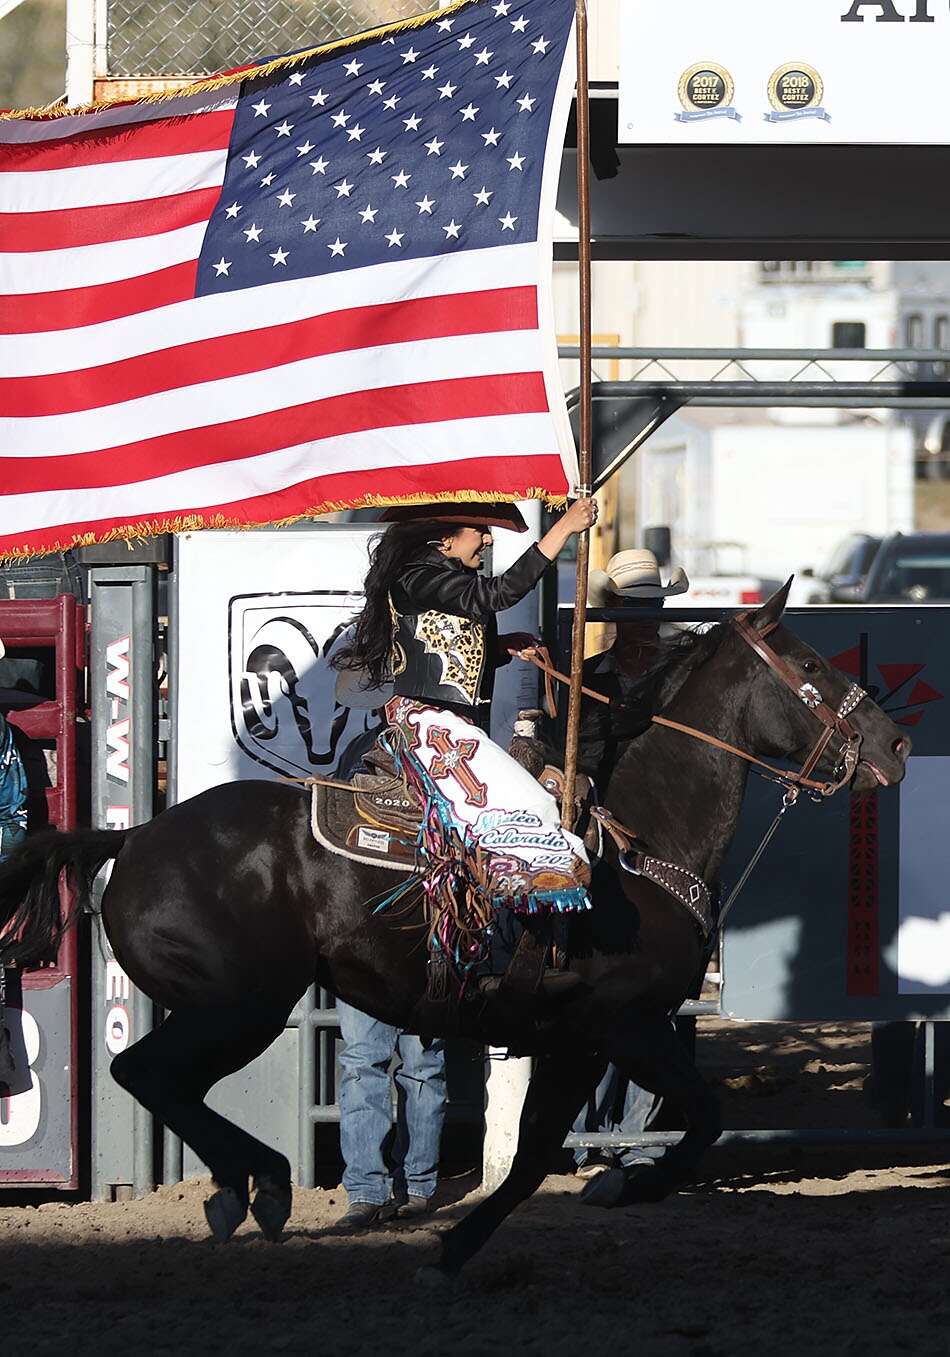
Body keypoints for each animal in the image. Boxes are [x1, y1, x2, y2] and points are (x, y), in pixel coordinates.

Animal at [0, 586, 906, 1281]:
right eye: (812, 667)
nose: (894, 743)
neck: (637, 837)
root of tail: (131, 838)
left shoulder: (578, 1037)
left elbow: (542, 1152)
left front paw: (462, 1243)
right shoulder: (624, 1023)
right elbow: (696, 1117)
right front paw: (617, 1188)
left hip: (230, 1007)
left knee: (160, 1079)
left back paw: (240, 1188)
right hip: (240, 1006)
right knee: (144, 1071)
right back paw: (263, 1181)